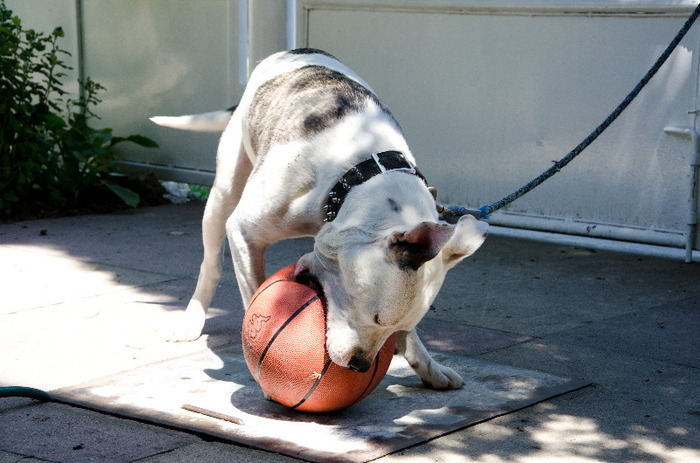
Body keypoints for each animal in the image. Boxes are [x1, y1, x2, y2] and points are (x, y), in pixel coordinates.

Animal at [152, 49, 486, 392]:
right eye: (377, 318)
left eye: (392, 325)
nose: (360, 366)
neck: (360, 173)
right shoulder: (244, 233)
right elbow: (256, 294)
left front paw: (429, 366)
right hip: (222, 196)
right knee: (211, 263)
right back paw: (191, 320)